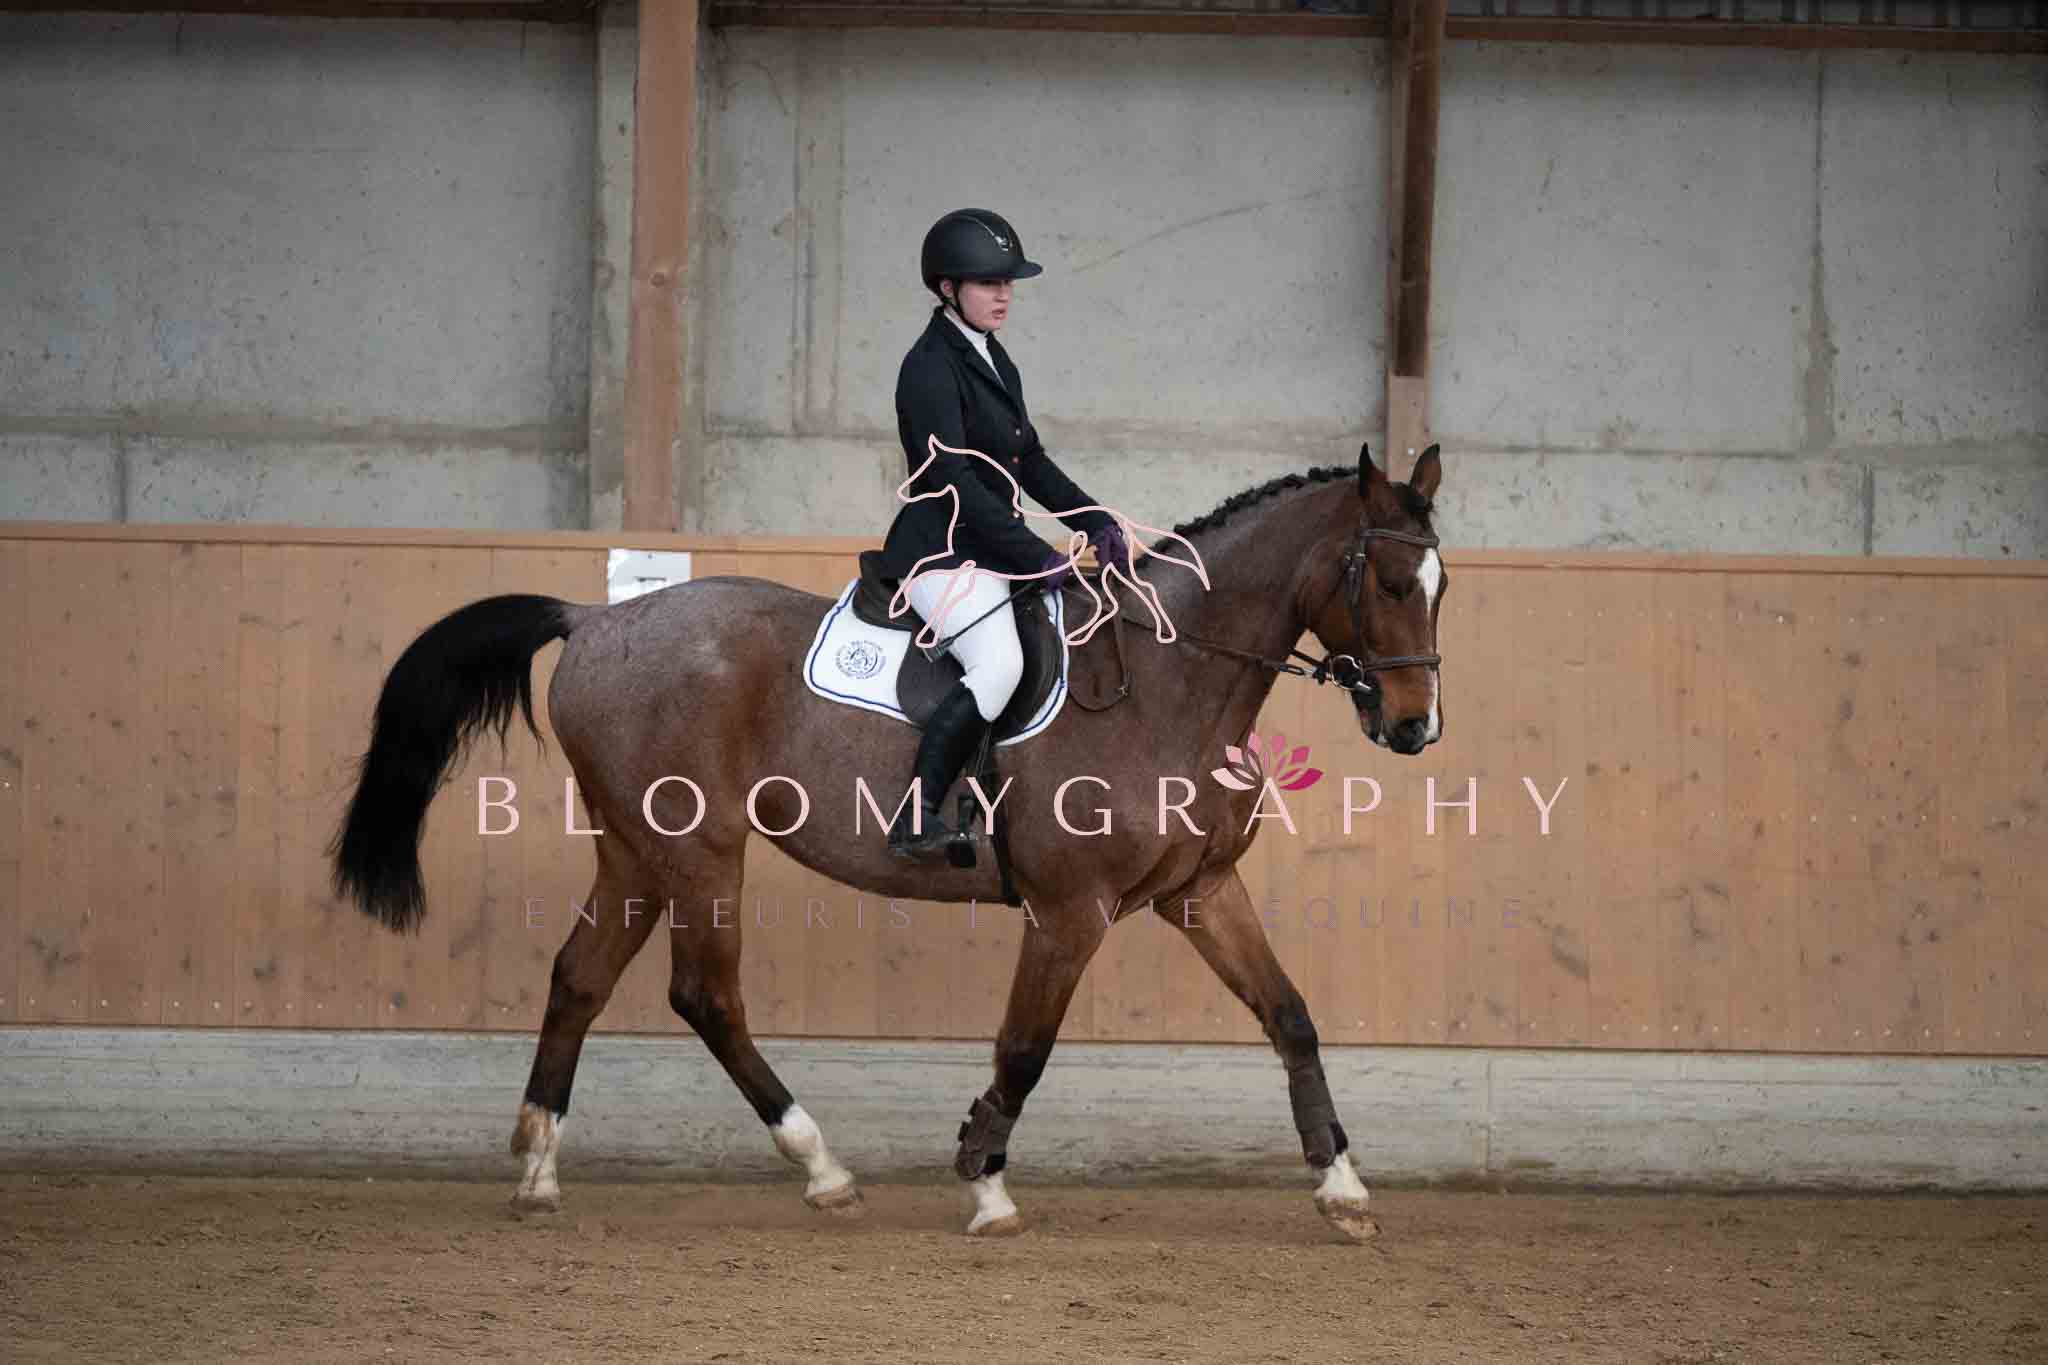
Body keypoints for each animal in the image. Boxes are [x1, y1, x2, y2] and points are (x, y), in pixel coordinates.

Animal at [329, 440, 1446, 1241]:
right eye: (1389, 583)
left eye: (1441, 585)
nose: (1412, 728)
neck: (1168, 684)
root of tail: (594, 620)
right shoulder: (1069, 912)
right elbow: (1024, 1047)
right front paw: (984, 1185)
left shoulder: (1201, 892)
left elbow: (1290, 1017)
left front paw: (1343, 1186)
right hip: (698, 848)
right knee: (704, 994)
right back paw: (820, 1167)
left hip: (633, 849)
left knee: (578, 977)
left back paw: (538, 1170)